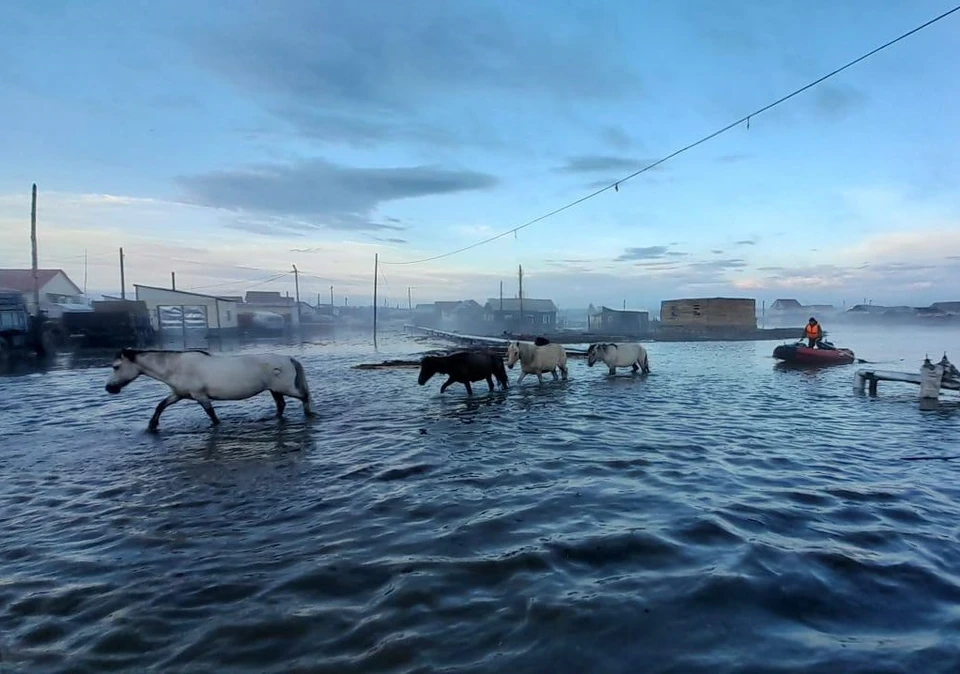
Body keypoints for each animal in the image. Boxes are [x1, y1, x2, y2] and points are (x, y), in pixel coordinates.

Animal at [105, 346, 316, 430]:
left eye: (116, 367)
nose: (109, 388)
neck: (176, 366)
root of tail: (288, 358)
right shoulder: (179, 394)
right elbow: (161, 405)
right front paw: (151, 426)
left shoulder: (200, 396)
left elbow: (212, 415)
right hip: (274, 390)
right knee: (281, 405)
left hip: (286, 388)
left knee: (304, 396)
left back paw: (309, 415)